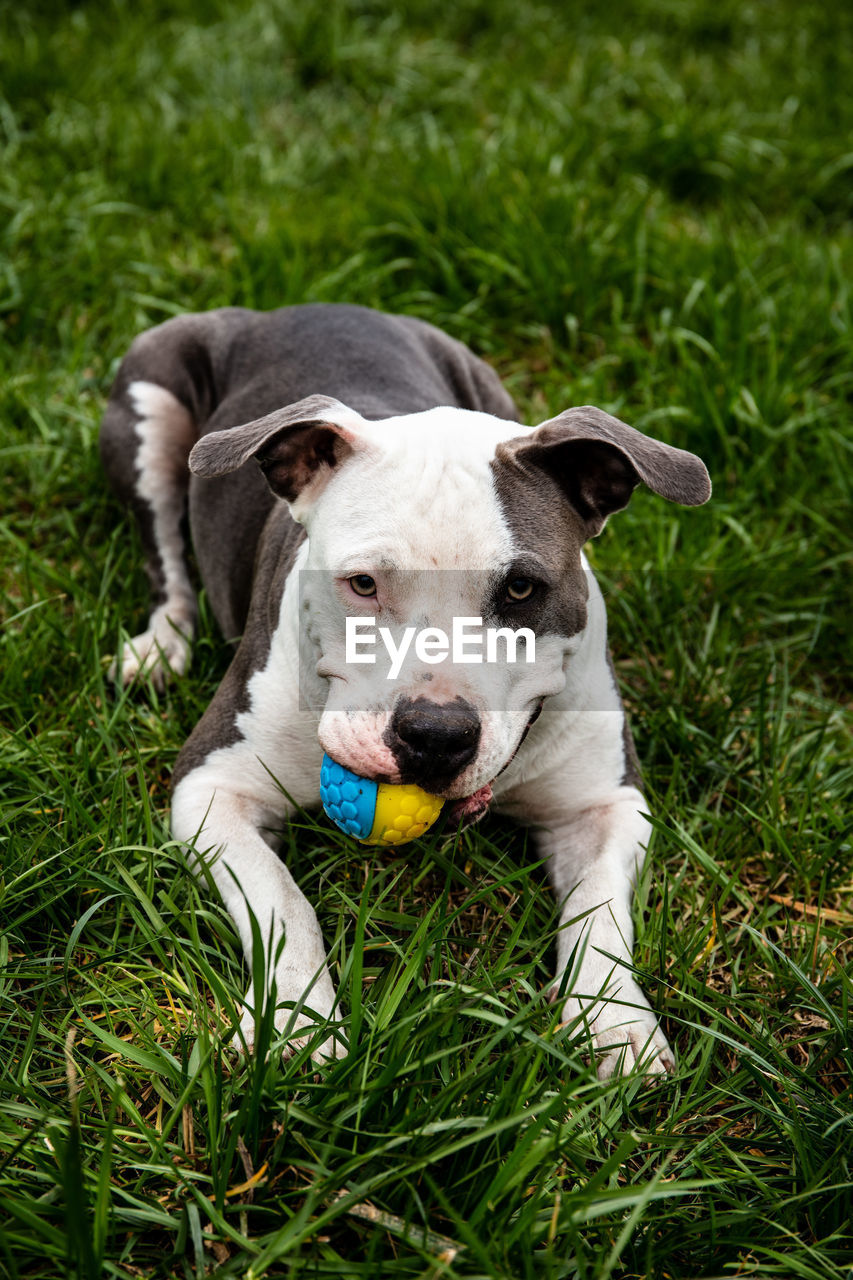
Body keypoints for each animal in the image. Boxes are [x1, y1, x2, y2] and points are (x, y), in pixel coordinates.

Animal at [99, 304, 706, 1075]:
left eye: (521, 589)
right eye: (362, 583)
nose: (434, 736)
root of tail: (289, 310)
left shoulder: (604, 805)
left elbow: (600, 913)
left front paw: (616, 1025)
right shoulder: (212, 786)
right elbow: (283, 902)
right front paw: (297, 1023)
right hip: (150, 409)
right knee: (167, 555)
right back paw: (161, 644)